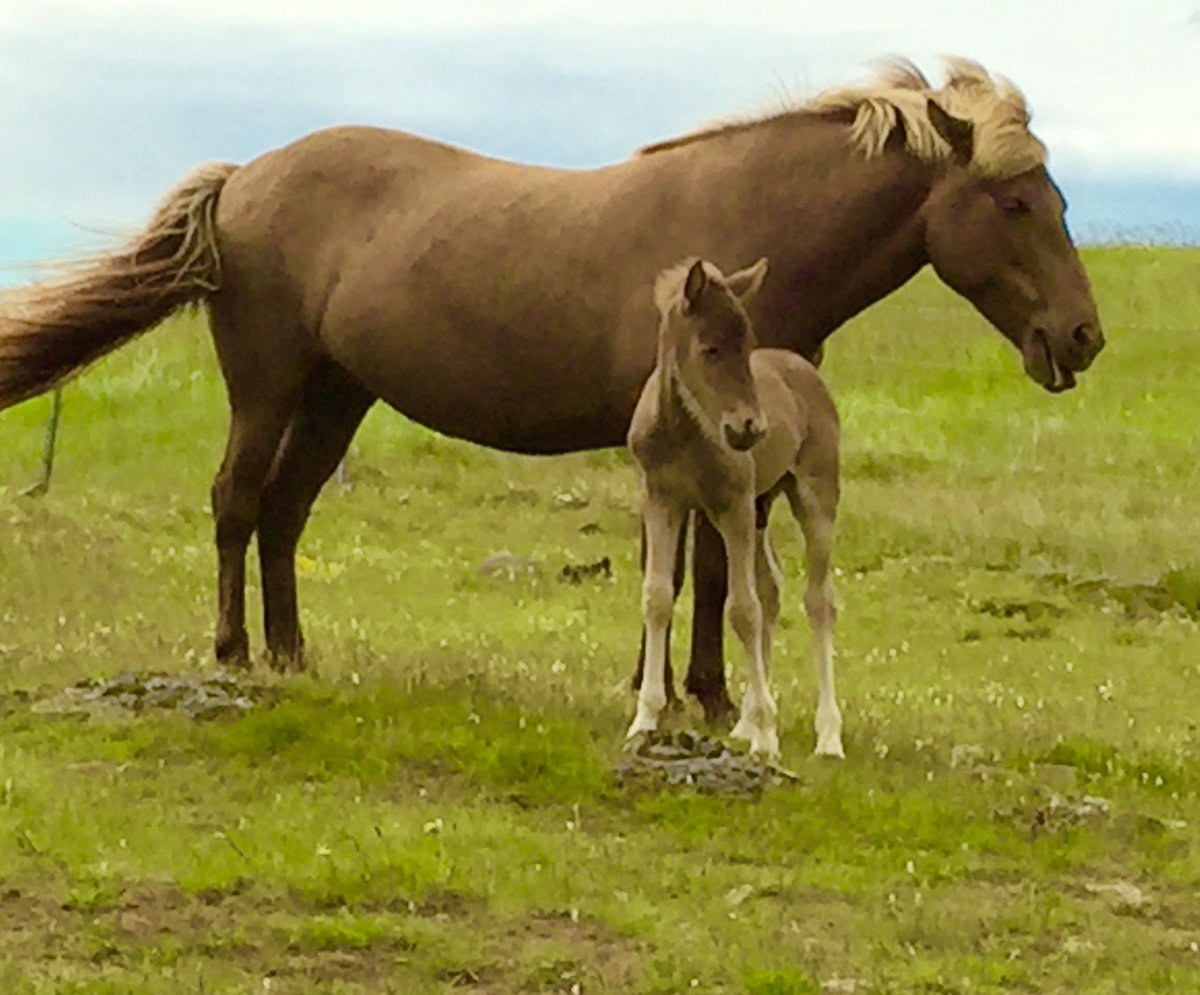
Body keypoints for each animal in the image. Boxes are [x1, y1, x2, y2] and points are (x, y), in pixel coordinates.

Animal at [628, 258, 840, 760]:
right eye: (710, 349)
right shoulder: (661, 498)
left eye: (747, 347)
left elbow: (742, 609)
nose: (750, 429)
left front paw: (766, 738)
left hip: (814, 498)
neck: (683, 432)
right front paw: (644, 719)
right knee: (772, 583)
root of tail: (805, 366)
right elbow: (657, 595)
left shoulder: (732, 505)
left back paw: (828, 737)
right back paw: (746, 724)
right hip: (763, 504)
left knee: (819, 599)